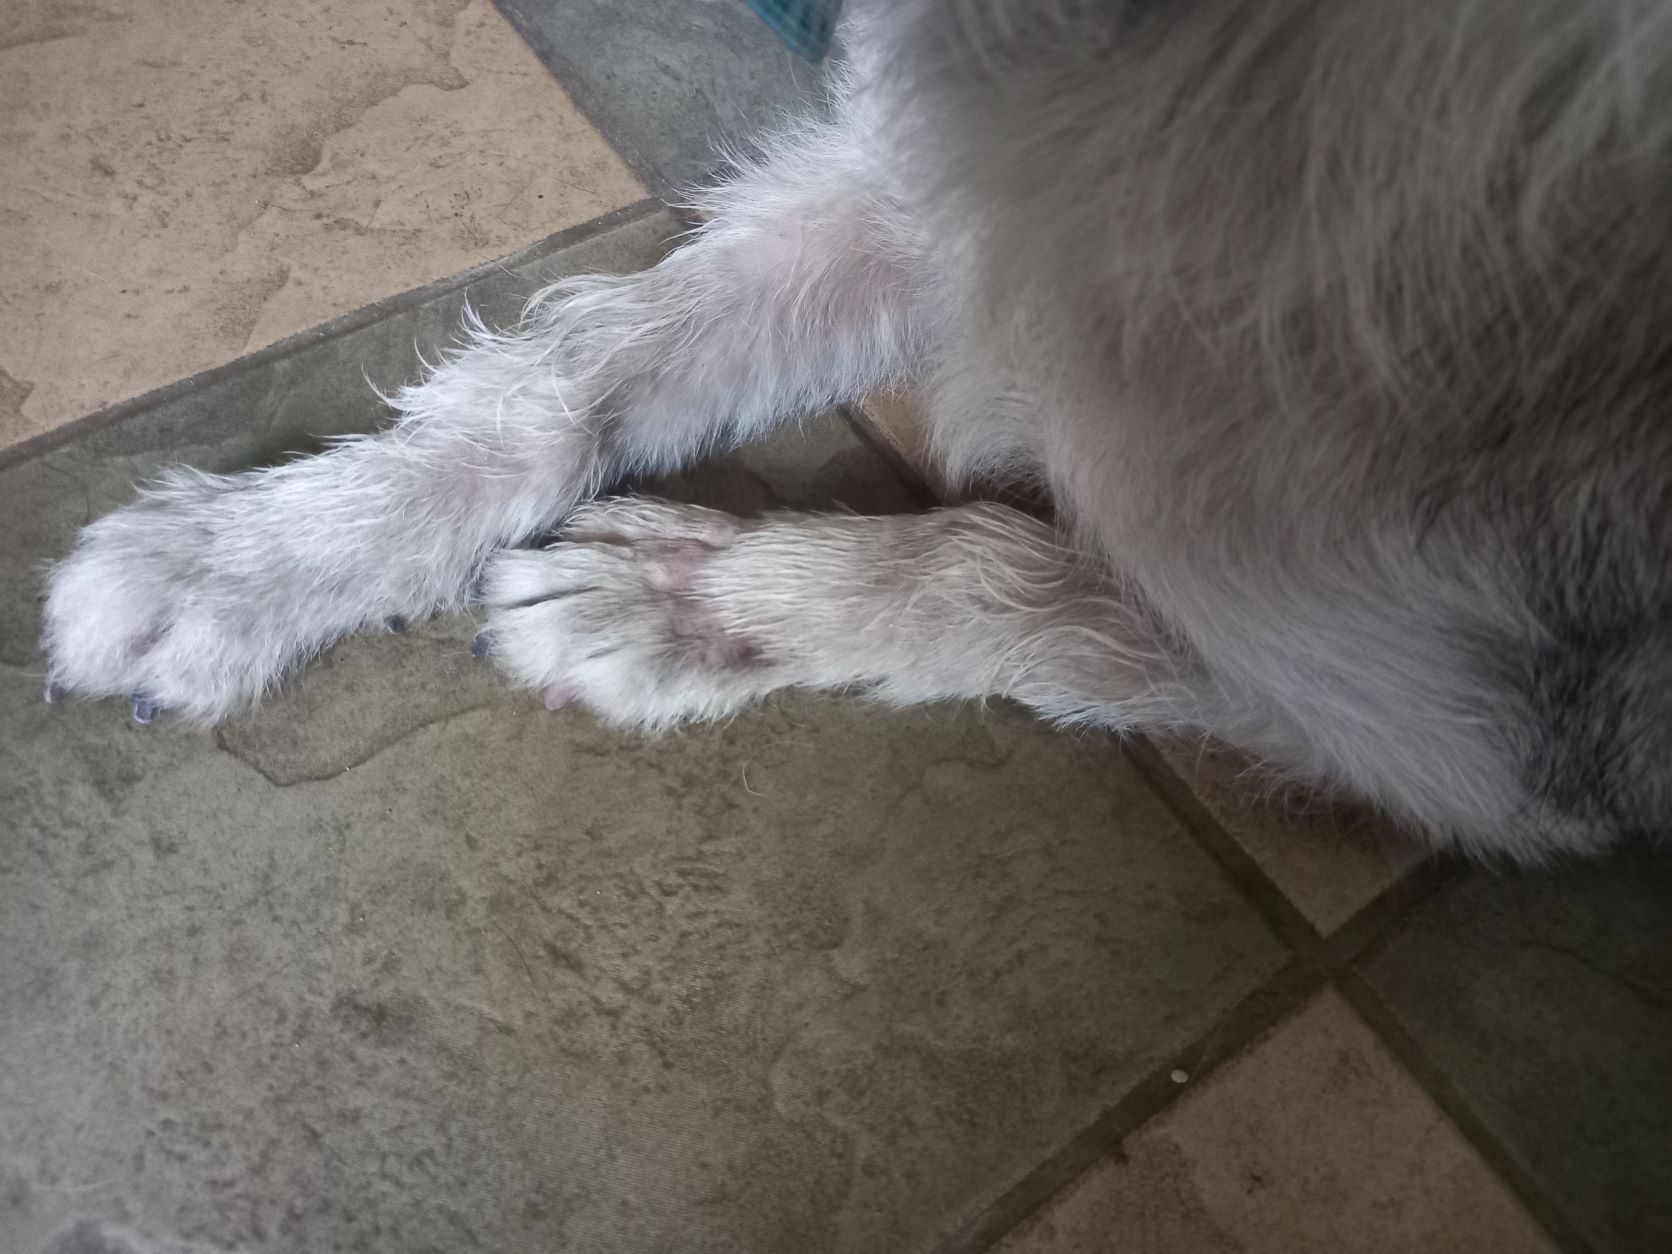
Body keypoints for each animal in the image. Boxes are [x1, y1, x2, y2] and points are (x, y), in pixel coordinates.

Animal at [39, 0, 1672, 861]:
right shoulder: (950, 183)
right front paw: (264, 553)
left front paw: (698, 602)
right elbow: (579, 364)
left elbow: (1002, 565)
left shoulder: (1454, 737)